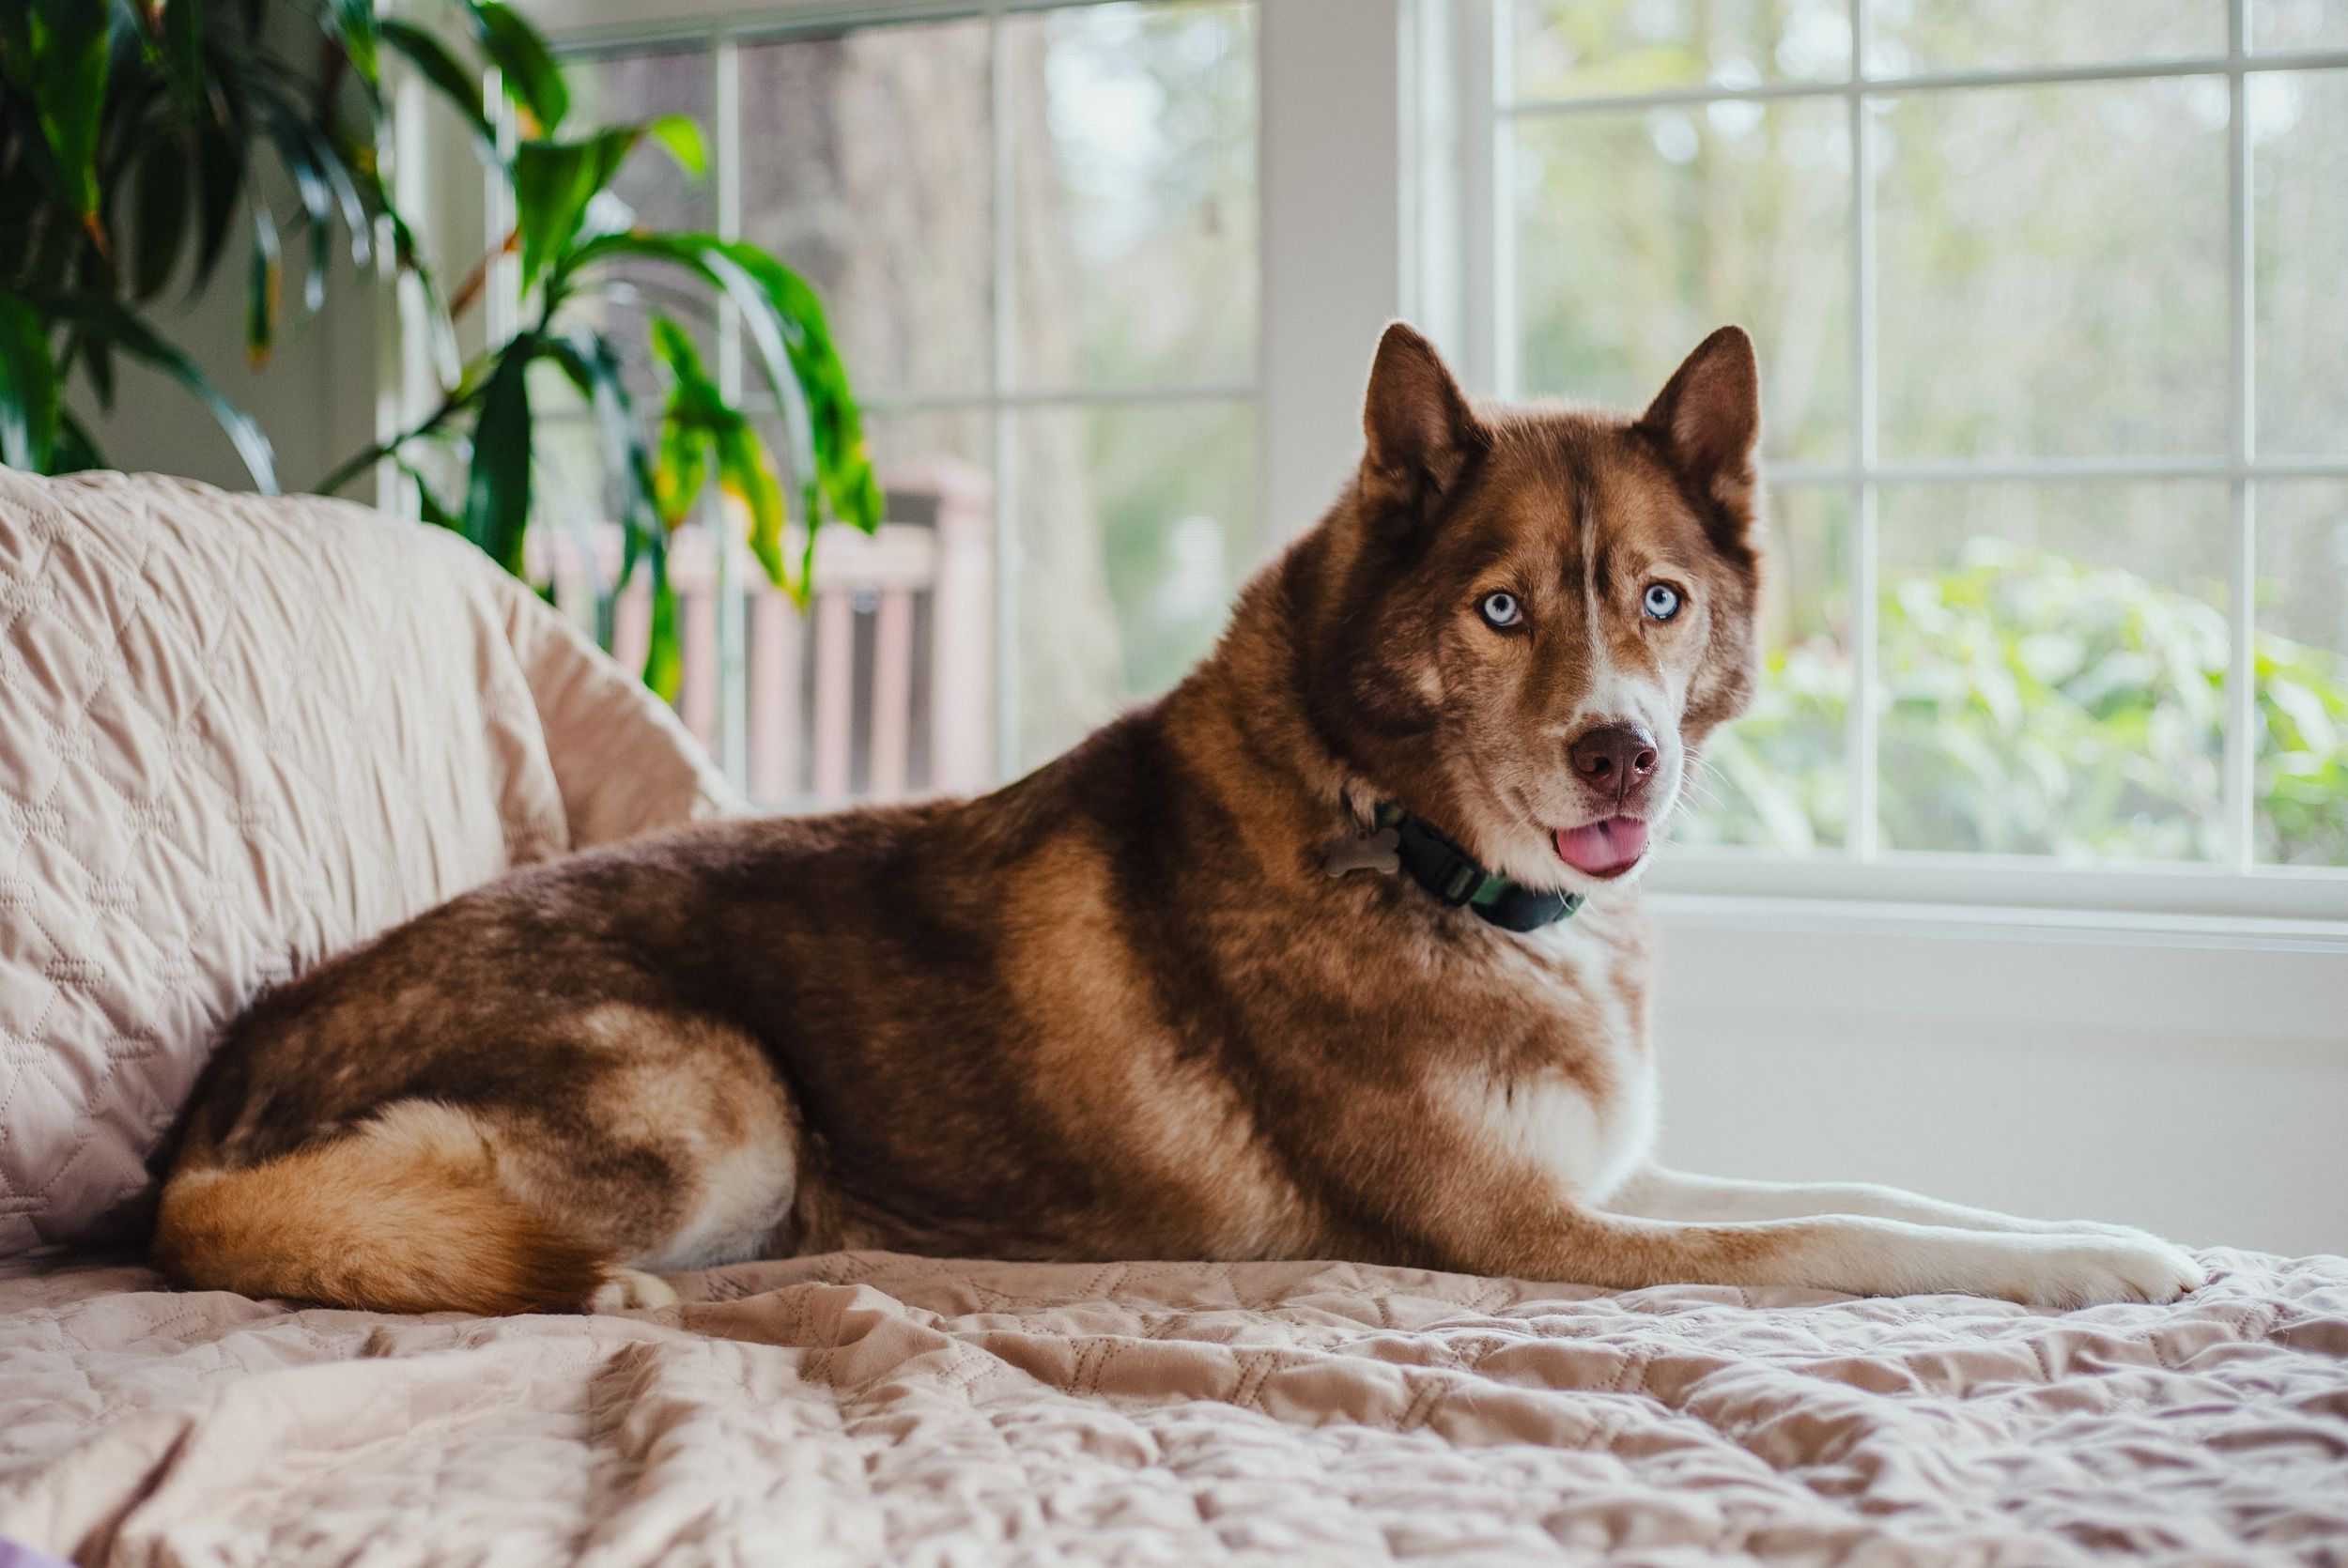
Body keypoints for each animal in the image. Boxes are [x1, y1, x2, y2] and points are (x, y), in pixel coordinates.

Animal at [152, 323, 2205, 1317]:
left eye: (1659, 602)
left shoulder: (1603, 1181)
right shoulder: (1537, 1236)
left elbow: (1881, 1190)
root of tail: (202, 1136)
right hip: (716, 1103)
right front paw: (2084, 1267)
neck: (1411, 849)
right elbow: (1842, 1238)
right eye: (1500, 610)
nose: (1621, 754)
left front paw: (2111, 1230)